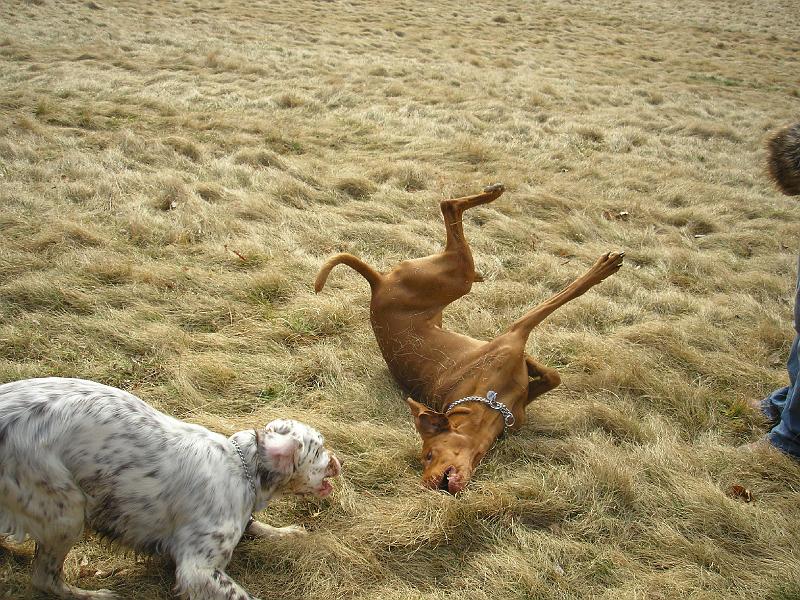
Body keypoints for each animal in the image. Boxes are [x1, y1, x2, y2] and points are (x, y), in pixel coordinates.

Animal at [0, 378, 340, 596]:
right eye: (320, 449)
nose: (338, 462)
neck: (241, 466)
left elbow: (256, 525)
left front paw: (288, 532)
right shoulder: (197, 568)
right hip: (67, 511)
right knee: (44, 578)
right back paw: (94, 594)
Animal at [314, 185, 624, 494]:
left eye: (428, 455)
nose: (427, 485)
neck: (491, 405)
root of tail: (377, 283)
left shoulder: (515, 334)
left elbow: (566, 296)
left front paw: (599, 273)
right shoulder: (516, 362)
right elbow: (553, 374)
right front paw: (535, 366)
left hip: (454, 277)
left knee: (449, 208)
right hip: (452, 277)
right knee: (449, 211)